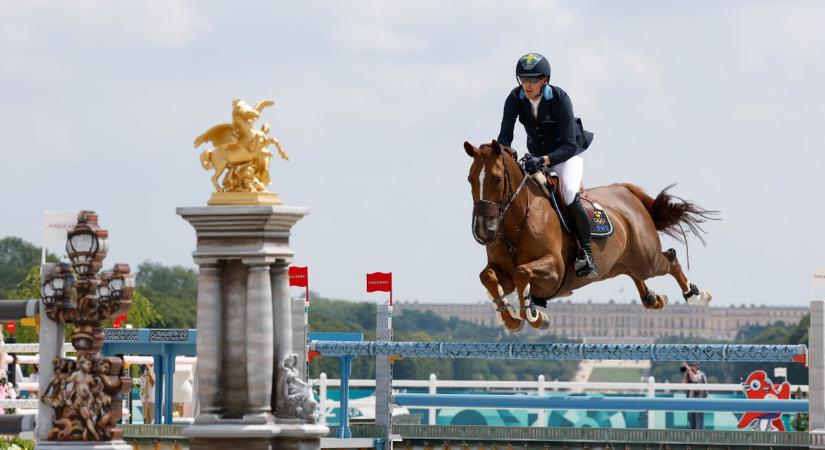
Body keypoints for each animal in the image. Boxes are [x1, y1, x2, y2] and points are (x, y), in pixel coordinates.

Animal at [466, 140, 716, 330]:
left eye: (497, 179)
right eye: (470, 178)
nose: (483, 230)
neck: (516, 224)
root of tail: (626, 191)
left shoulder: (555, 270)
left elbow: (522, 273)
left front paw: (533, 313)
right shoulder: (503, 272)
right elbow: (487, 276)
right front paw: (509, 317)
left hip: (647, 259)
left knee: (670, 258)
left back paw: (696, 294)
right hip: (622, 263)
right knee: (635, 273)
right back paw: (653, 298)